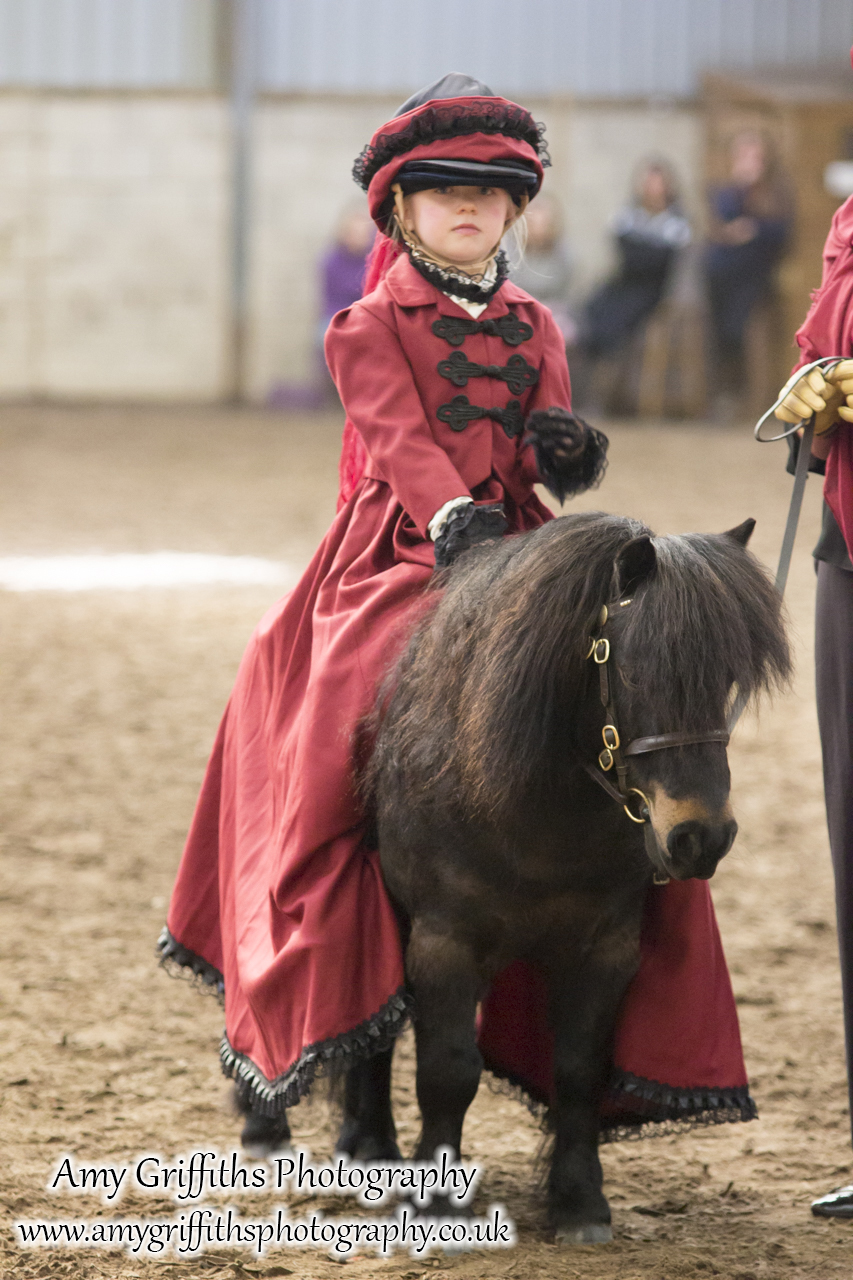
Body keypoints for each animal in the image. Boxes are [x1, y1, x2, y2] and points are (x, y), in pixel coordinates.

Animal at [239, 506, 783, 1239]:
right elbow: (447, 1070)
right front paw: (438, 1201)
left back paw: (367, 1145)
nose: (700, 837)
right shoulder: (443, 942)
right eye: (637, 673)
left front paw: (579, 1203)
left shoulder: (606, 949)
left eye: (727, 677)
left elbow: (579, 1068)